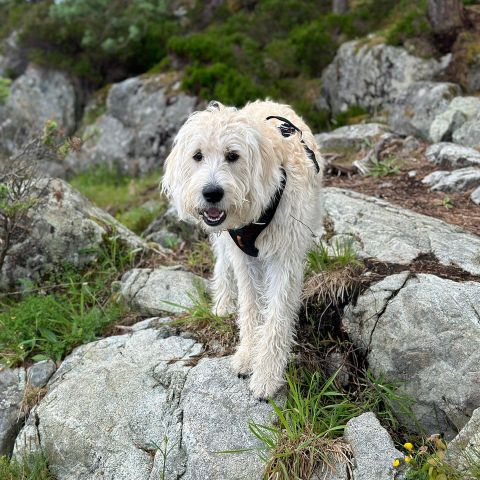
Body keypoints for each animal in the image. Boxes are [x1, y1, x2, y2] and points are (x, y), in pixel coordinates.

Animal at [163, 99, 324, 400]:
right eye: (197, 156)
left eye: (233, 155)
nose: (211, 193)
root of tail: (267, 102)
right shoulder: (243, 259)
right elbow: (249, 307)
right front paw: (248, 355)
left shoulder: (285, 260)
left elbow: (276, 316)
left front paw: (267, 375)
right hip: (226, 243)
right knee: (222, 264)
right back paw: (224, 302)